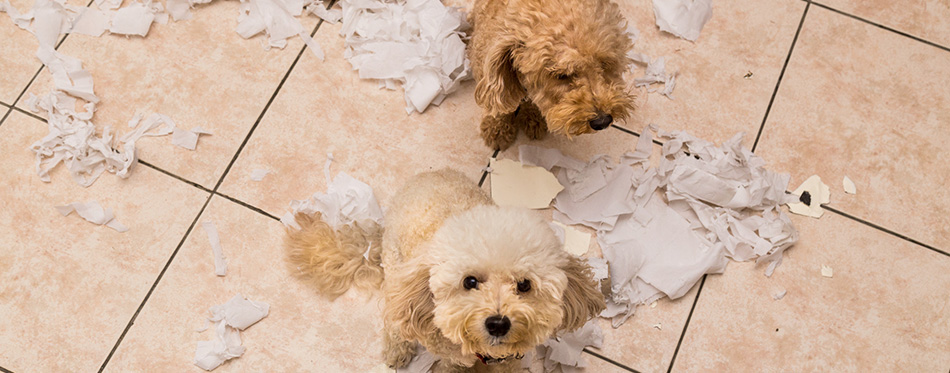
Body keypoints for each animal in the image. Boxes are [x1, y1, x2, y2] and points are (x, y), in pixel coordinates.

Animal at [470, 0, 636, 150]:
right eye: (561, 75)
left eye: (604, 64)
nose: (602, 121)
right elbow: (497, 106)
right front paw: (497, 130)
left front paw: (533, 117)